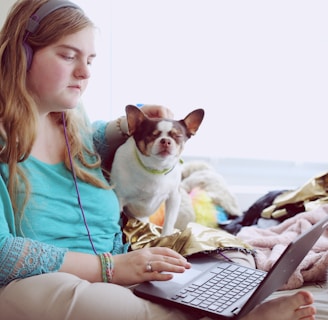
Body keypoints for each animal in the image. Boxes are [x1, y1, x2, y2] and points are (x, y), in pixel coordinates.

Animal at [111, 105, 204, 235]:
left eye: (178, 136)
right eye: (152, 135)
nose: (165, 140)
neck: (156, 169)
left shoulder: (174, 198)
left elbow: (169, 222)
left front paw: (166, 236)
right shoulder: (120, 199)